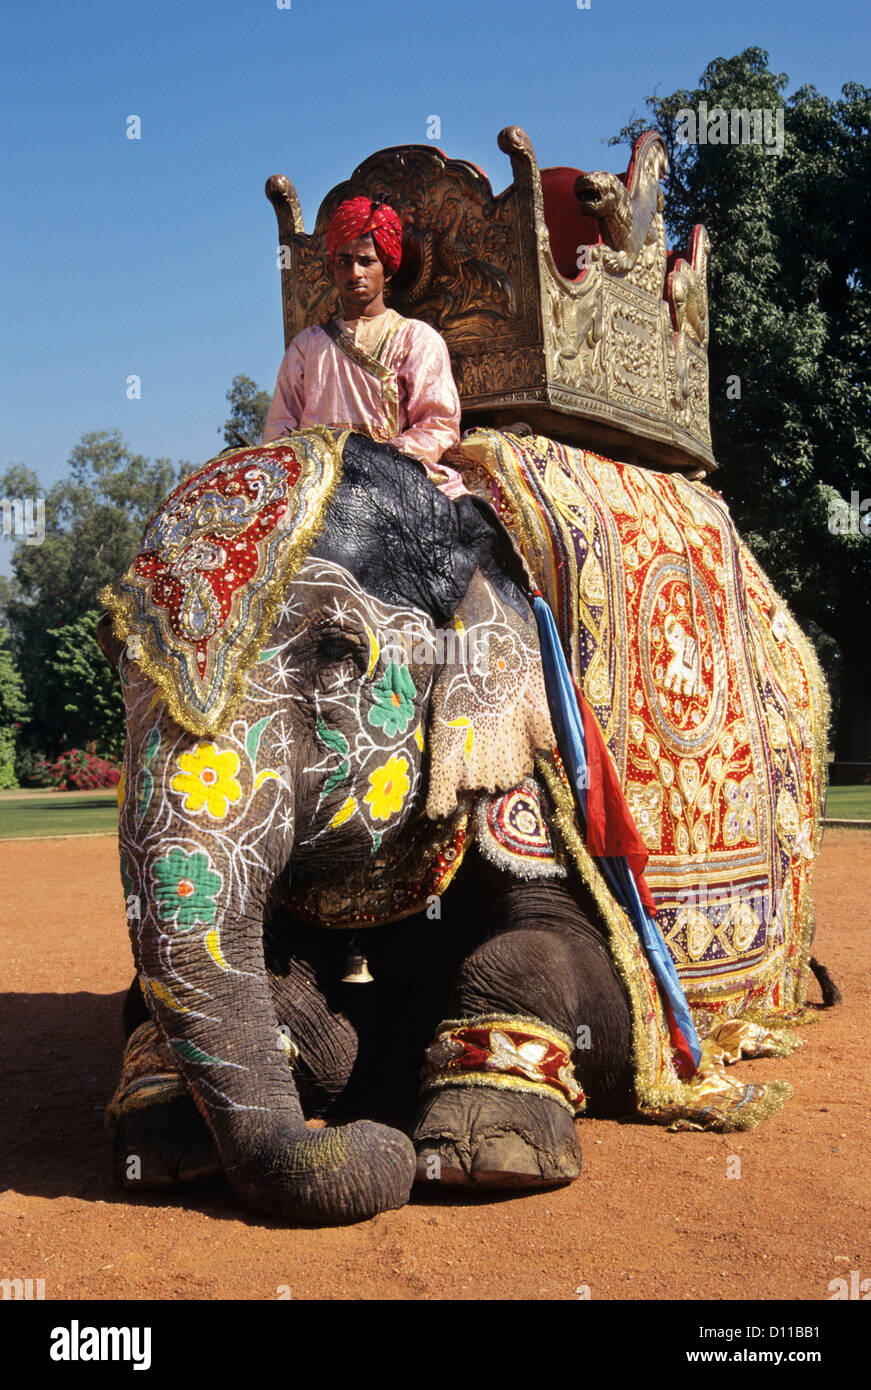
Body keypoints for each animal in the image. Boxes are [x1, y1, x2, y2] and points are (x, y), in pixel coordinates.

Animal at [98, 425, 827, 1228]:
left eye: (338, 648)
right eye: (109, 647)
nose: (368, 1145)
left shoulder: (536, 753)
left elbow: (588, 982)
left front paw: (487, 1153)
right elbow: (184, 986)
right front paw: (170, 1149)